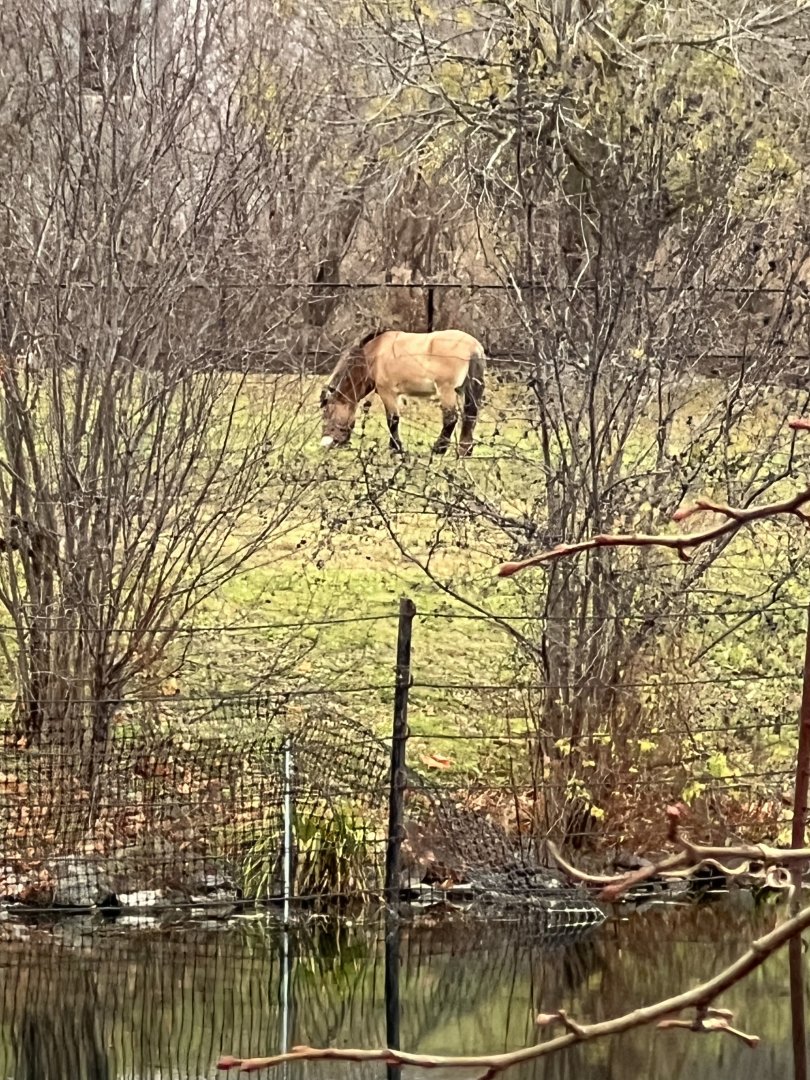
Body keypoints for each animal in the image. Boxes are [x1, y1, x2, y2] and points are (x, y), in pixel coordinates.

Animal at [319, 329, 486, 456]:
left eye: (327, 412)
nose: (326, 443)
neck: (373, 355)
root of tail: (473, 347)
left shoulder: (387, 392)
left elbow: (392, 420)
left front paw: (396, 449)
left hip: (447, 391)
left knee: (451, 418)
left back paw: (439, 449)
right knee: (470, 416)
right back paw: (465, 450)